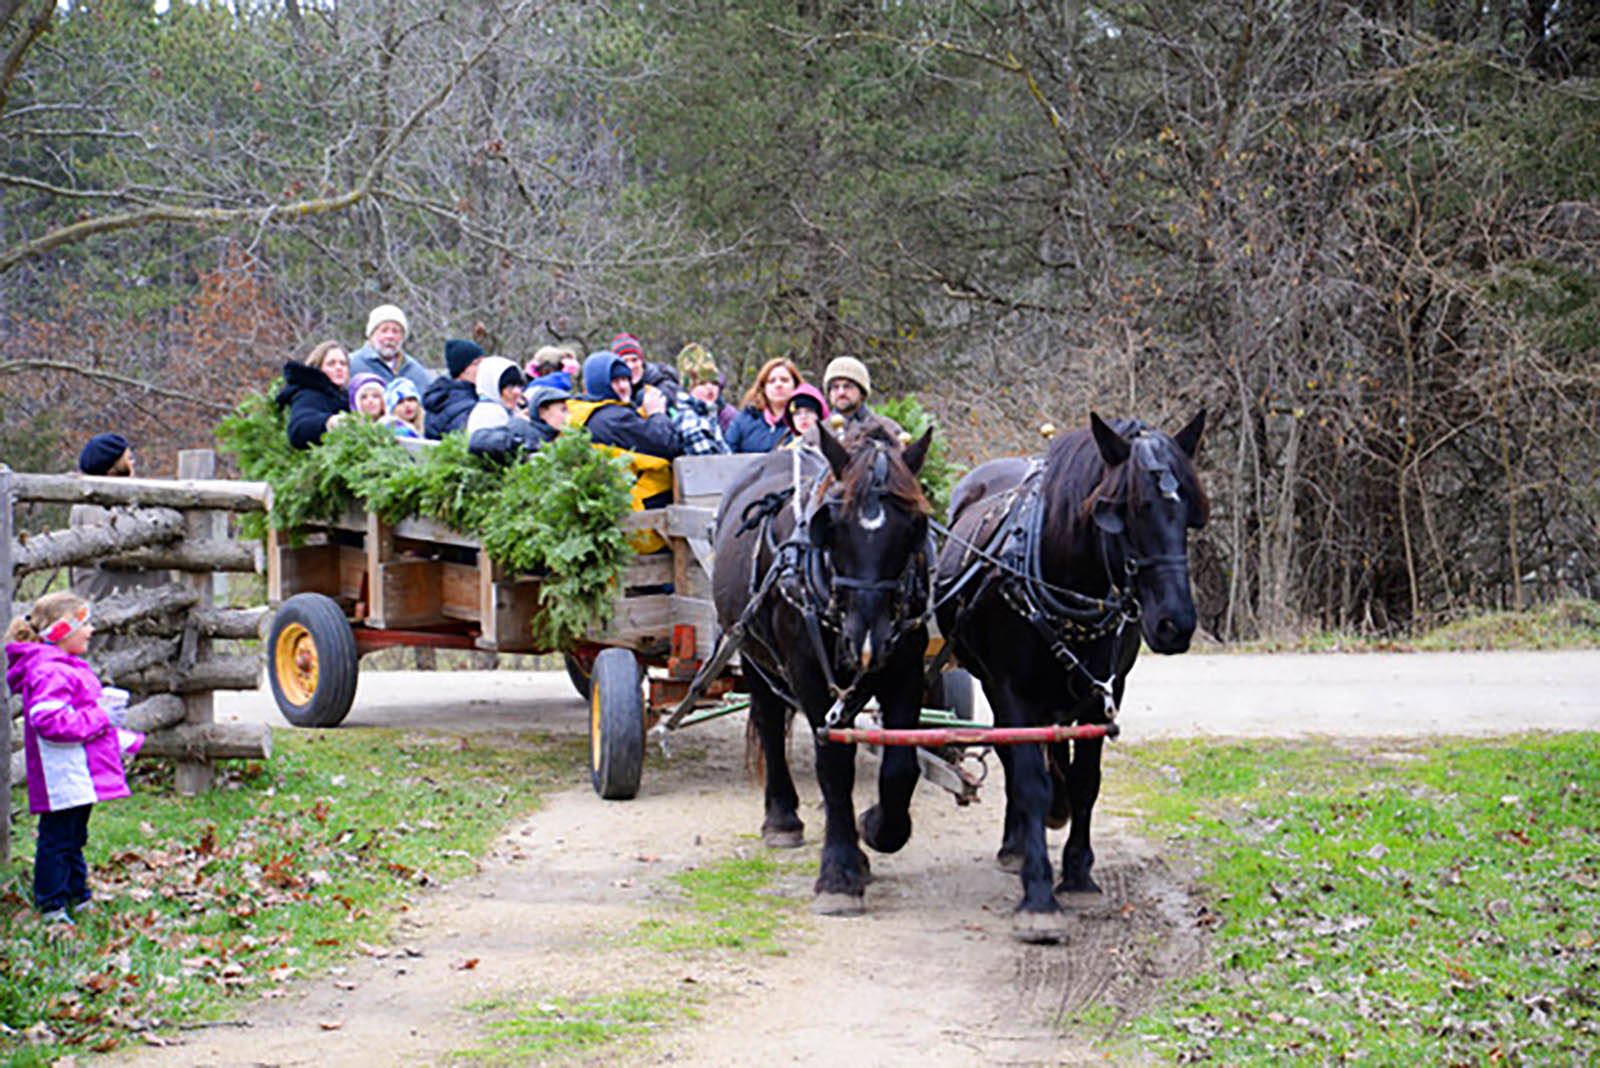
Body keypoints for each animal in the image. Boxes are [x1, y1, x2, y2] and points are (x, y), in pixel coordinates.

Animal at [716, 422, 934, 908]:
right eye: (832, 526)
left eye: (914, 526)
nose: (868, 638)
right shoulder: (809, 675)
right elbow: (834, 765)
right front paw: (839, 872)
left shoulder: (905, 670)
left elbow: (901, 767)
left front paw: (878, 829)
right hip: (752, 654)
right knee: (769, 722)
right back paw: (781, 818)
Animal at [934, 412, 1203, 940]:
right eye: (1129, 509)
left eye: (1188, 510)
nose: (1175, 624)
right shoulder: (1014, 691)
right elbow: (1030, 779)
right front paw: (1038, 894)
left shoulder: (1105, 691)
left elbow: (1086, 780)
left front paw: (1078, 872)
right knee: (1013, 753)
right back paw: (1016, 843)